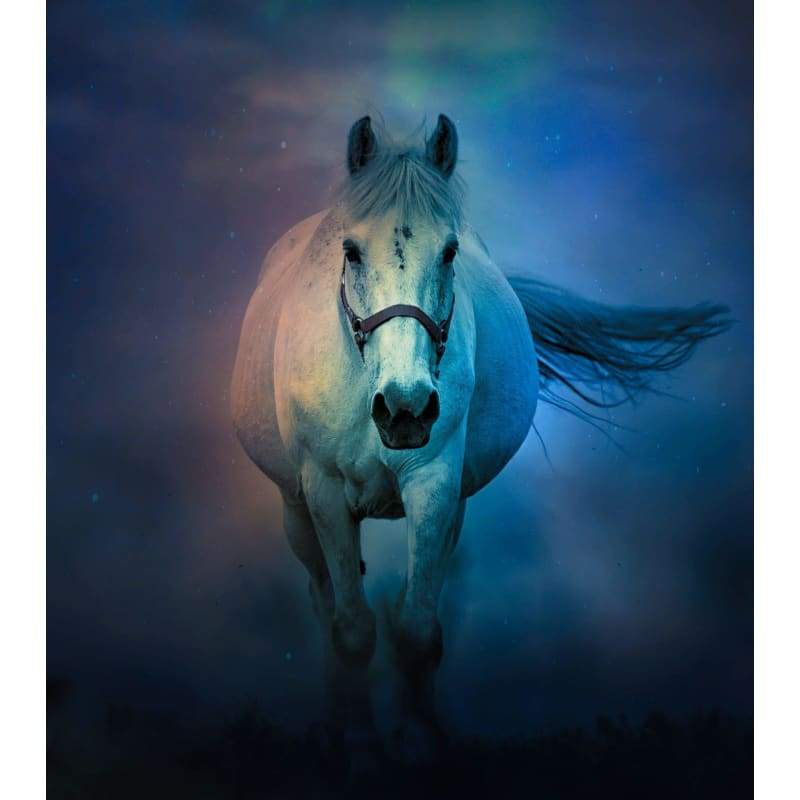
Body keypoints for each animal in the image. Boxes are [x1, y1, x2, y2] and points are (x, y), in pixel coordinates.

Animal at [230, 114, 729, 767]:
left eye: (449, 251)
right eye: (351, 250)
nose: (405, 408)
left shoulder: (436, 483)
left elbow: (417, 628)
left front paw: (419, 740)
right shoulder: (325, 492)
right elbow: (352, 629)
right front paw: (359, 743)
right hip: (296, 510)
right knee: (324, 601)